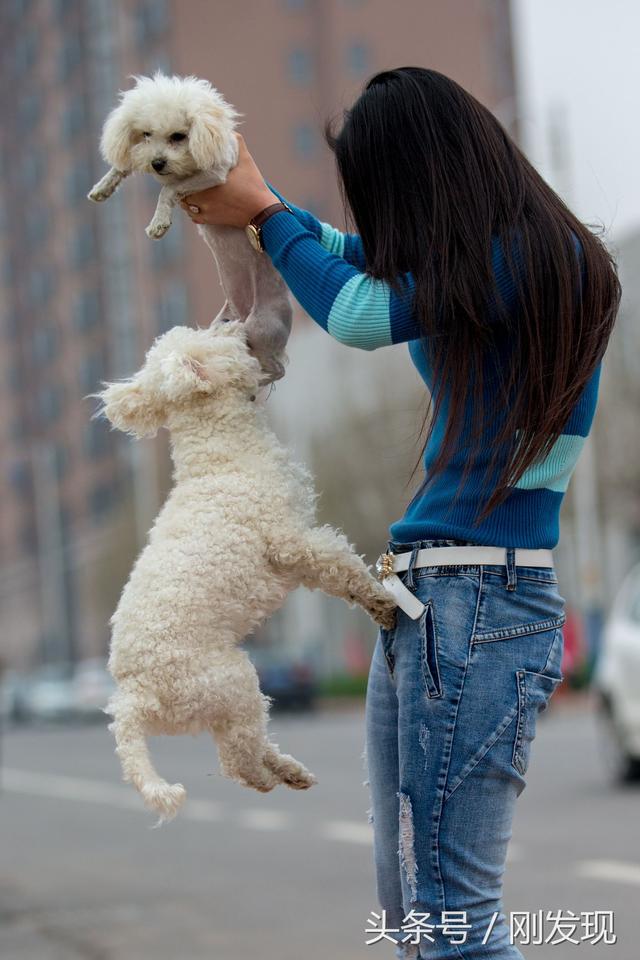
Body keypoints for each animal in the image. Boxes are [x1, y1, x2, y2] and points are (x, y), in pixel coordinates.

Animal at [89, 74, 292, 382]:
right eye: (146, 134)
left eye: (178, 136)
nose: (157, 163)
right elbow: (126, 166)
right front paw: (102, 187)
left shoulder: (214, 175)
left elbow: (168, 190)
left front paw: (159, 223)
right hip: (226, 325)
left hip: (260, 327)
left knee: (277, 369)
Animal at [95, 318, 396, 820]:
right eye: (212, 337)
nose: (231, 320)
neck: (221, 456)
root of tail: (132, 695)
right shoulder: (290, 542)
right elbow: (340, 563)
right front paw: (381, 598)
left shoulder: (296, 558)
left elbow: (335, 577)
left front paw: (373, 604)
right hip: (231, 682)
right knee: (239, 760)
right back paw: (271, 776)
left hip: (218, 701)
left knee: (244, 746)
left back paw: (290, 771)